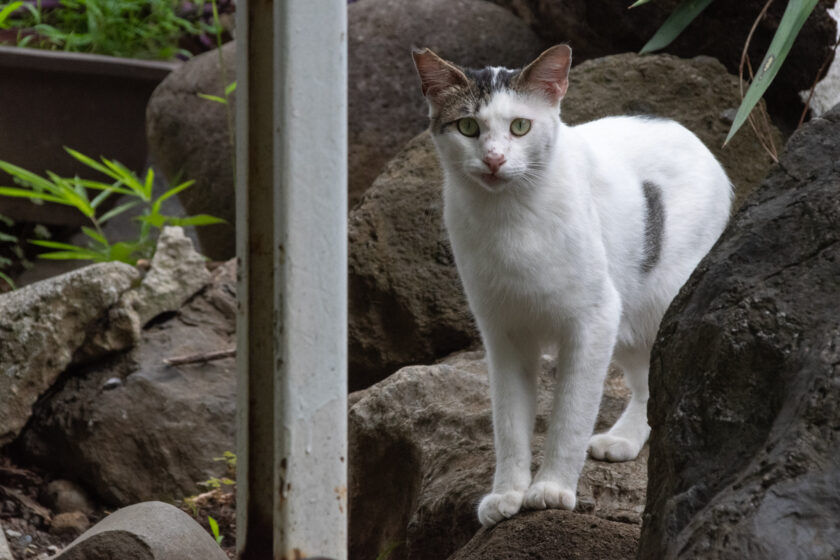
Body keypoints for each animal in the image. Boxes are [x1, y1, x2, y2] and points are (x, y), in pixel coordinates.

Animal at [416, 42, 736, 524]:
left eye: (520, 126)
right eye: (468, 127)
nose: (494, 159)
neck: (510, 218)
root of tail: (681, 127)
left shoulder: (594, 320)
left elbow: (570, 414)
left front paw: (550, 488)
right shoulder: (503, 335)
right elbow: (508, 421)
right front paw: (508, 493)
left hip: (660, 305)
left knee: (662, 374)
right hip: (630, 320)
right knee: (646, 382)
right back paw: (624, 438)